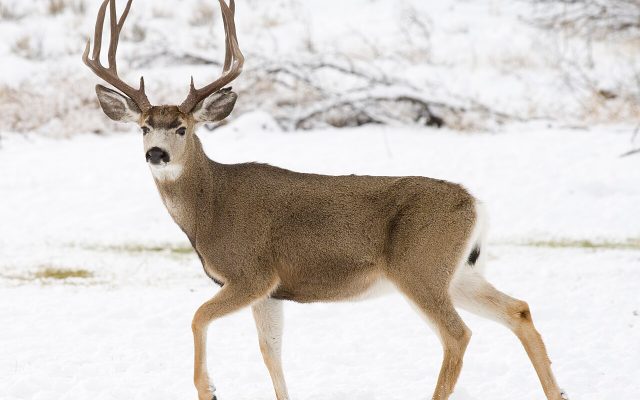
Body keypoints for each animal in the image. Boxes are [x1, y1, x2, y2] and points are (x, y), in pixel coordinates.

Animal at [82, 1, 569, 399]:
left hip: (420, 267)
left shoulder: (251, 273)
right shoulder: (272, 291)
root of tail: (475, 203)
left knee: (458, 336)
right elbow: (271, 355)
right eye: (144, 127)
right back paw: (558, 391)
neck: (210, 208)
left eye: (182, 127)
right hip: (458, 271)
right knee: (519, 309)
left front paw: (211, 388)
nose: (156, 154)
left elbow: (199, 317)